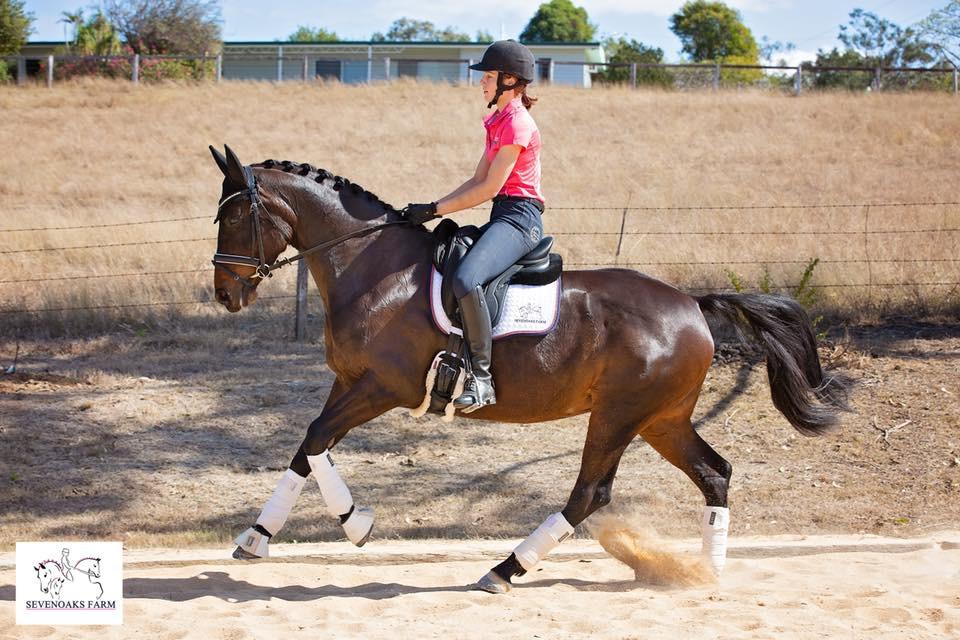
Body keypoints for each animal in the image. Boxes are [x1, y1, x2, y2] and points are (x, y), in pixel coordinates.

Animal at [209, 145, 847, 593]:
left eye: (234, 219)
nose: (225, 294)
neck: (371, 269)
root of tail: (692, 305)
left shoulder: (384, 387)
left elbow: (317, 439)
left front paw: (355, 524)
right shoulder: (348, 383)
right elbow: (307, 447)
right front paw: (256, 537)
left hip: (619, 415)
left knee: (591, 492)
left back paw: (505, 569)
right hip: (662, 419)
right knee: (715, 473)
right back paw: (708, 576)